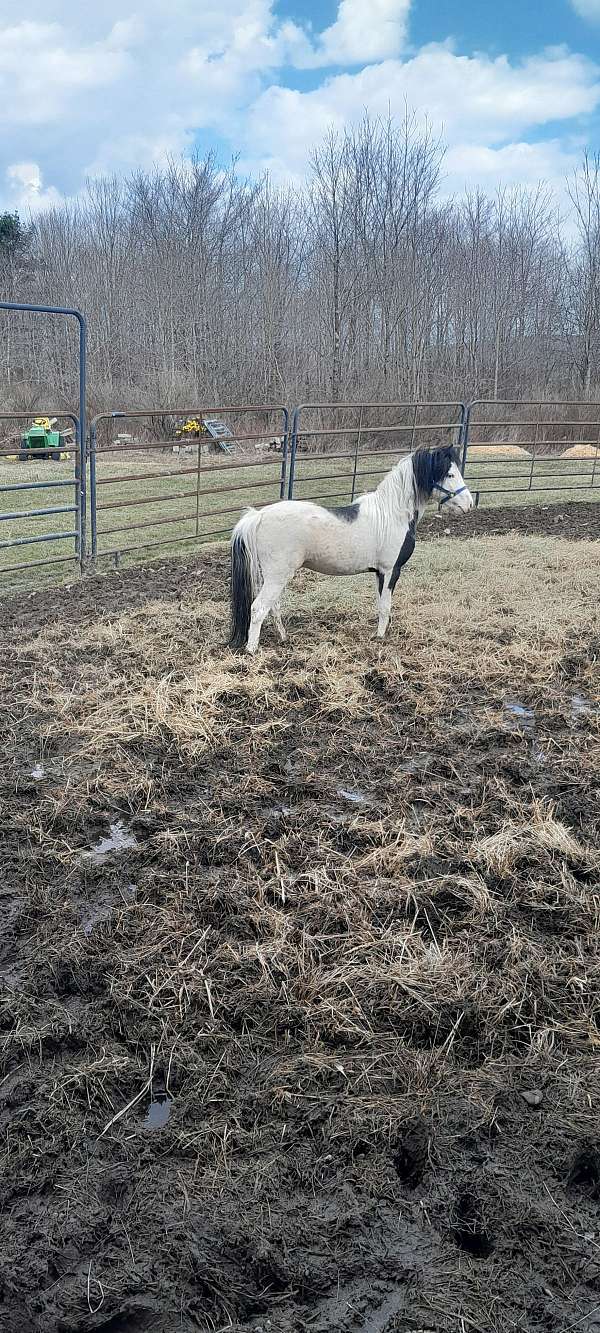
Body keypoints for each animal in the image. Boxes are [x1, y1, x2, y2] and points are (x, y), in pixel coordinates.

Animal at [229, 445, 474, 653]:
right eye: (450, 474)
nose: (469, 504)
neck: (392, 514)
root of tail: (258, 515)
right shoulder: (390, 570)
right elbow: (385, 607)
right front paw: (379, 638)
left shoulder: (379, 573)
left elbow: (380, 604)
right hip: (277, 576)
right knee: (259, 608)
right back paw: (252, 650)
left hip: (273, 576)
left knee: (273, 607)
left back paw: (283, 638)